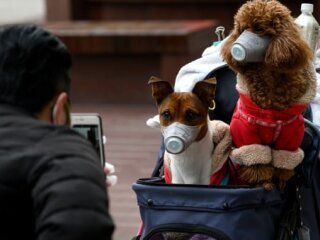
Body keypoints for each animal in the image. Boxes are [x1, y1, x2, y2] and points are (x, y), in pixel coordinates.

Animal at [219, 0, 316, 190]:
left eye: (258, 29)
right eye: (242, 29)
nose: (236, 48)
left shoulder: (291, 135)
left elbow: (283, 161)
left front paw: (282, 180)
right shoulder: (247, 133)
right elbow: (256, 162)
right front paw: (263, 182)